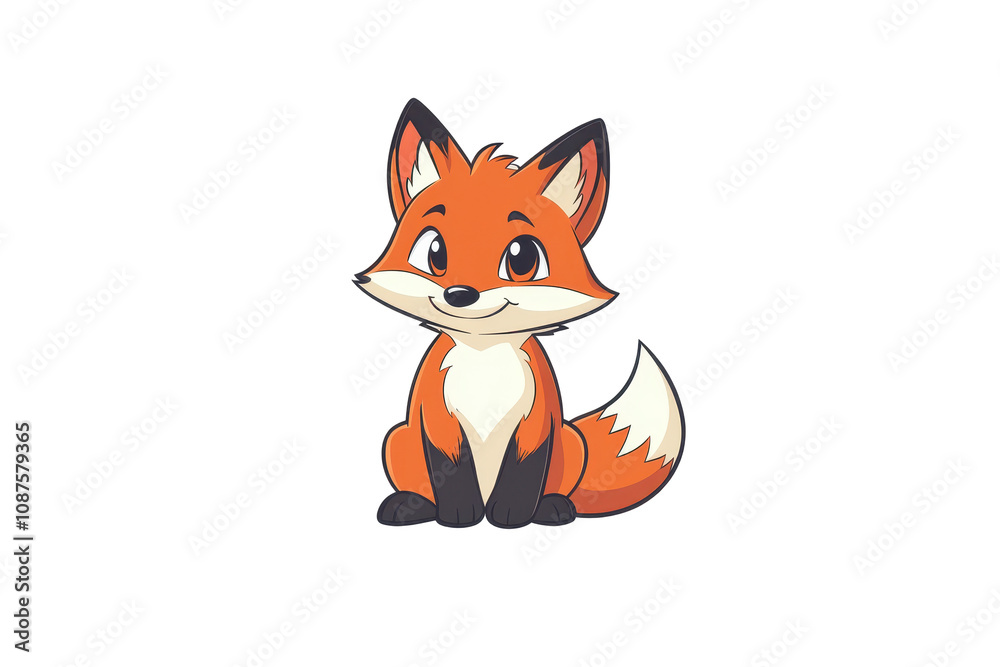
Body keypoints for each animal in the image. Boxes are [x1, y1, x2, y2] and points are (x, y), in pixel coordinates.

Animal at [355, 99, 685, 528]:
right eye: (435, 253)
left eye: (522, 259)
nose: (459, 294)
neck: (484, 360)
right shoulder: (438, 420)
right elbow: (451, 472)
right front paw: (460, 516)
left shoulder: (536, 424)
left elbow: (523, 473)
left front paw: (510, 516)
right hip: (397, 438)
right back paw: (410, 505)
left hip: (571, 442)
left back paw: (554, 507)